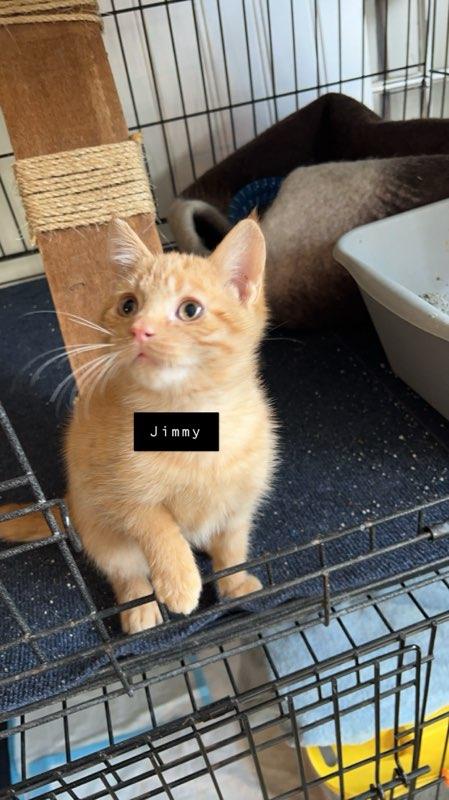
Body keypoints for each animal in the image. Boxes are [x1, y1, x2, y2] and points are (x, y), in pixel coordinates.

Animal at [0, 218, 277, 634]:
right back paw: (140, 609)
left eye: (190, 309)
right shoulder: (114, 490)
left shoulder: (241, 501)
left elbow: (232, 547)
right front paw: (179, 579)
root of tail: (68, 504)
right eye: (128, 306)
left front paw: (235, 584)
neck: (187, 417)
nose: (139, 329)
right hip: (99, 527)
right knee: (125, 571)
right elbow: (155, 525)